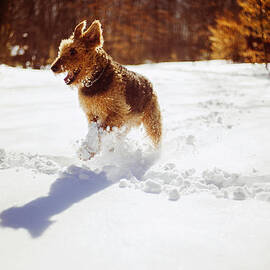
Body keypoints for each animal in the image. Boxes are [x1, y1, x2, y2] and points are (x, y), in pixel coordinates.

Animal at [51, 20, 161, 155]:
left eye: (73, 51)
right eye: (61, 49)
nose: (53, 67)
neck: (96, 79)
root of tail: (149, 84)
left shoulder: (117, 112)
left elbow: (101, 130)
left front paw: (88, 150)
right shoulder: (92, 114)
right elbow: (95, 131)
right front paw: (90, 150)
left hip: (152, 122)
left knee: (156, 139)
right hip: (126, 126)